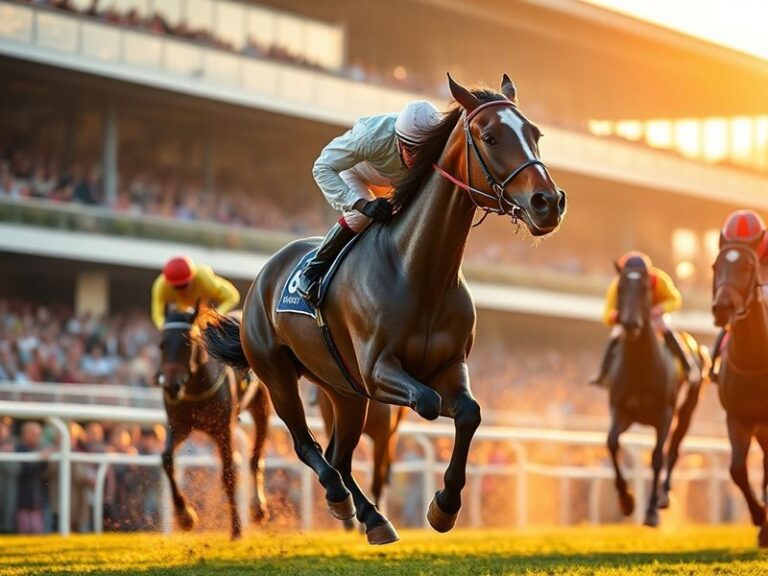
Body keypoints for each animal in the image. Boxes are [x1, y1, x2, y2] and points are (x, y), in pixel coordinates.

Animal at [158, 306, 271, 540]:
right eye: (161, 344)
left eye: (187, 343)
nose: (171, 387)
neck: (196, 386)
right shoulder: (179, 426)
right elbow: (166, 458)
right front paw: (186, 517)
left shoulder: (223, 429)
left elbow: (229, 474)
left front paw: (236, 528)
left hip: (262, 405)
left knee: (255, 458)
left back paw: (258, 508)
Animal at [605, 263, 707, 527]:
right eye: (620, 287)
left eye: (644, 289)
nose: (630, 324)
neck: (642, 365)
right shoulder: (621, 410)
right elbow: (612, 443)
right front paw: (626, 500)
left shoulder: (664, 414)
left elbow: (657, 456)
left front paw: (650, 511)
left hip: (687, 410)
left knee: (674, 448)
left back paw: (664, 495)